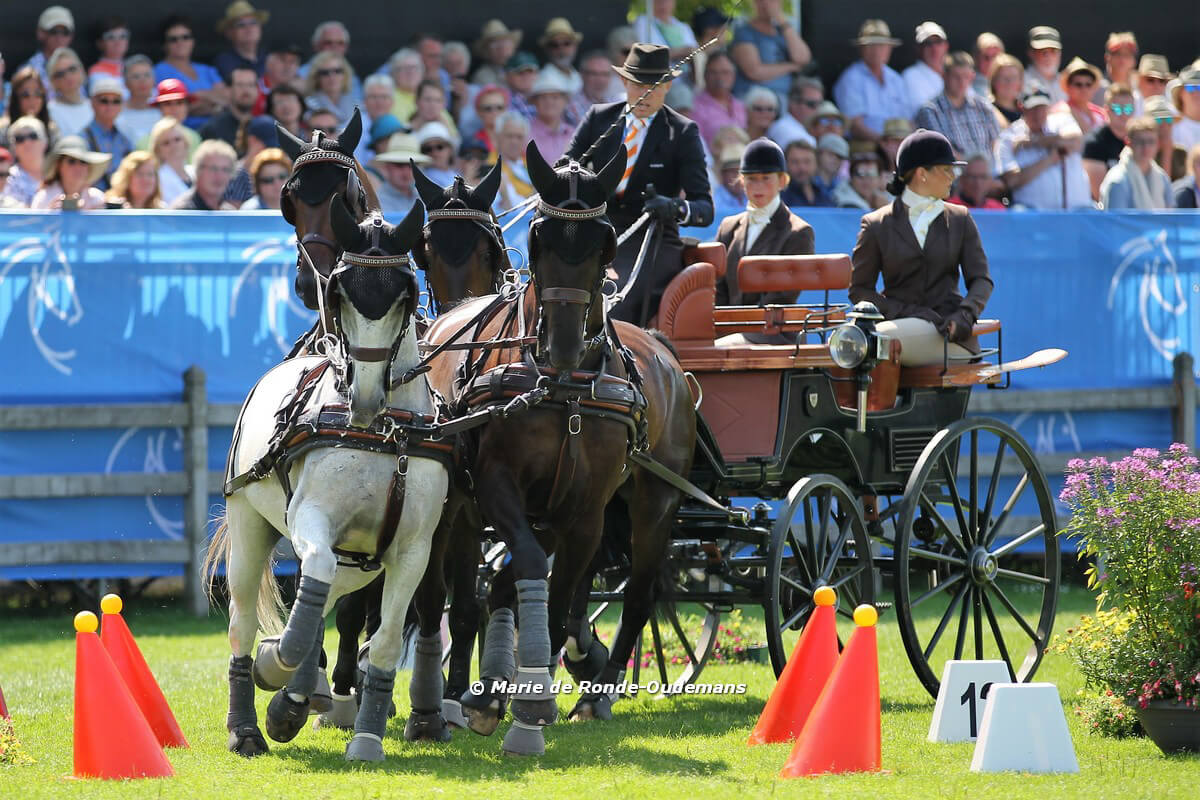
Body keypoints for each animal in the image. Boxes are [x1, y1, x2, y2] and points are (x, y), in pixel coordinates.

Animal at [204, 198, 450, 763]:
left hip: (363, 558)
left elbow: (384, 640)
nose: (363, 396)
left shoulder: (413, 550)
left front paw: (366, 735)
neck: (385, 434)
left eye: (404, 297)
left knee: (330, 596)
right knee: (244, 622)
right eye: (341, 294)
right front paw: (278, 663)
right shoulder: (310, 518)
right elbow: (311, 576)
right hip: (250, 525)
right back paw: (247, 723)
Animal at [419, 141, 698, 755]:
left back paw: (598, 687)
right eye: (538, 237)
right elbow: (521, 574)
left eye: (605, 241)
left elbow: (562, 590)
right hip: (471, 503)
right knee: (473, 590)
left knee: (638, 595)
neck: (562, 386)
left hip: (656, 499)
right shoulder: (498, 488)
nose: (565, 345)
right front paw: (494, 695)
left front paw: (540, 691)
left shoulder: (586, 509)